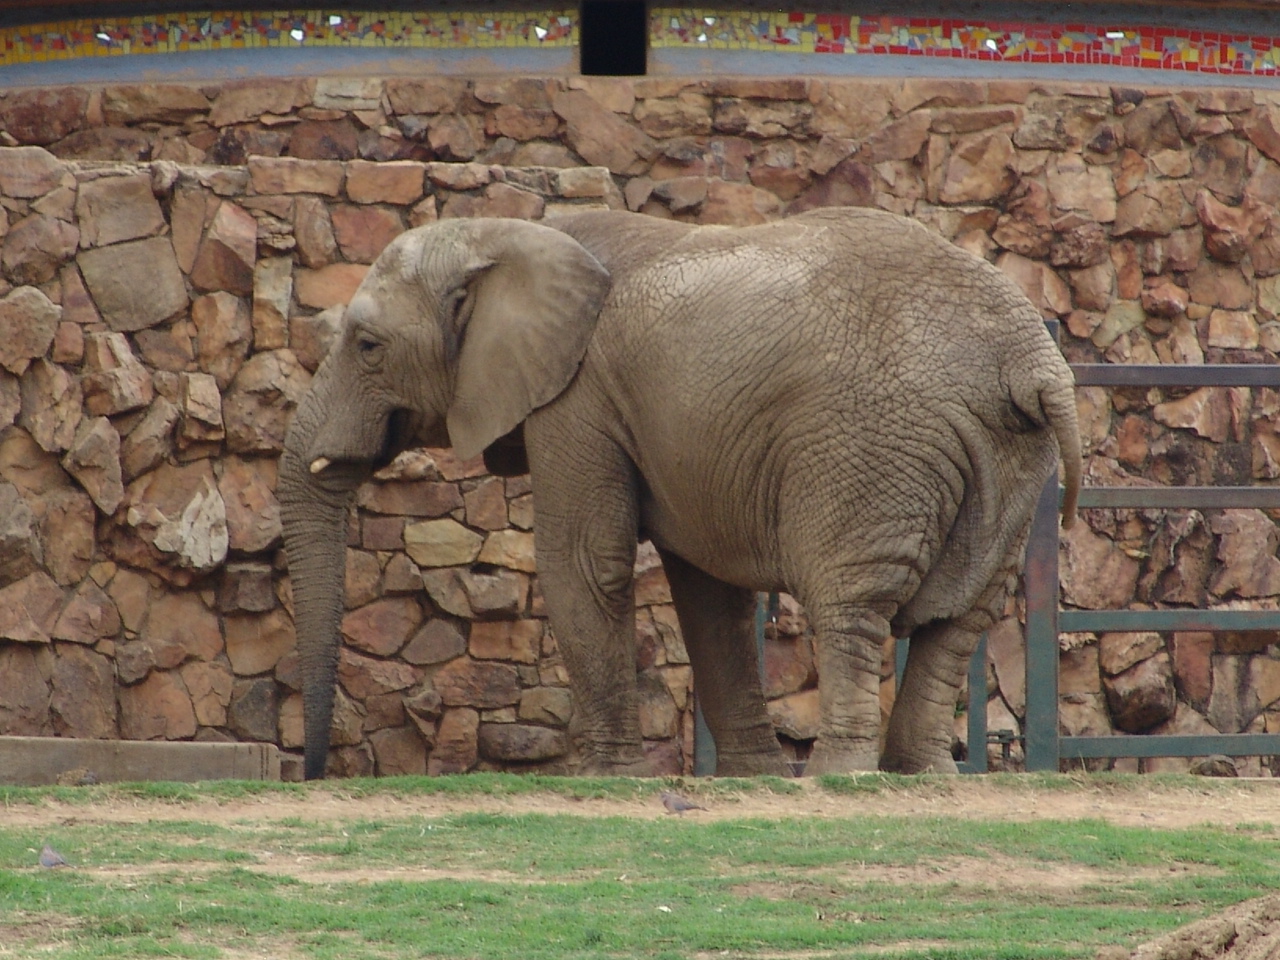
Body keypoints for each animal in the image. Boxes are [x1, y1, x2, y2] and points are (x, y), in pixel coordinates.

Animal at [279, 206, 1081, 781]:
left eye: (367, 347)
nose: (314, 775)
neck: (509, 232)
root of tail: (1032, 359)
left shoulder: (578, 398)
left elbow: (584, 561)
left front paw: (605, 779)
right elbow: (709, 594)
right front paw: (752, 778)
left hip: (870, 443)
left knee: (855, 605)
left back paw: (841, 775)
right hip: (1008, 457)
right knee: (961, 617)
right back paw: (916, 774)